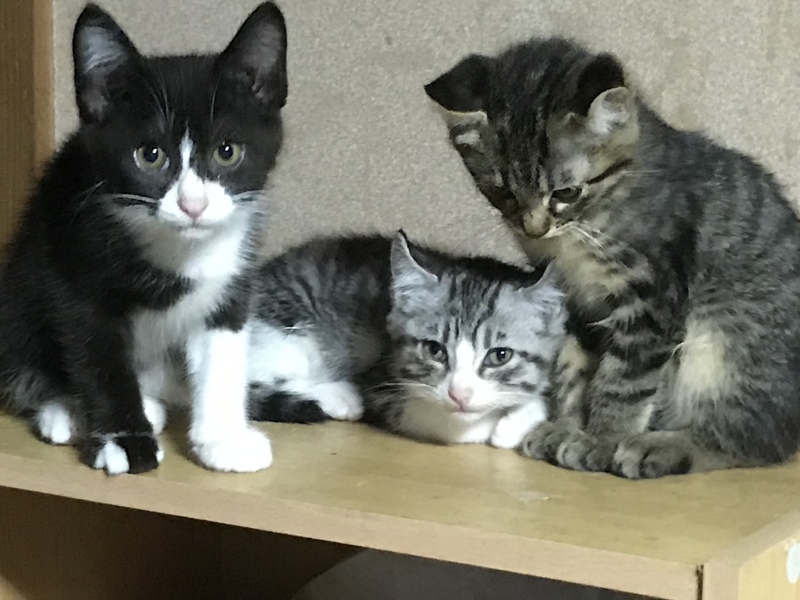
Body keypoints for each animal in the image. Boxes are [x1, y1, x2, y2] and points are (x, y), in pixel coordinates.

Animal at [0, 2, 287, 475]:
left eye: (227, 152)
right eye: (149, 155)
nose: (193, 204)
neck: (180, 250)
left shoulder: (231, 279)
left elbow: (224, 348)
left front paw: (222, 438)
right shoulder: (76, 274)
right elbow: (99, 358)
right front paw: (124, 440)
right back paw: (68, 411)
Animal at [247, 231, 565, 449]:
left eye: (500, 355)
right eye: (434, 349)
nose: (459, 395)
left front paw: (520, 415)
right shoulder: (379, 382)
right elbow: (449, 423)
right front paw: (498, 426)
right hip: (288, 333)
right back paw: (339, 395)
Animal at [423, 36, 800, 478]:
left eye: (565, 193)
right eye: (503, 192)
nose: (533, 228)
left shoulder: (651, 299)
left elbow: (622, 381)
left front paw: (603, 440)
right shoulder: (574, 304)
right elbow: (571, 370)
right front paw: (566, 427)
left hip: (724, 342)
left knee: (750, 439)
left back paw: (661, 447)